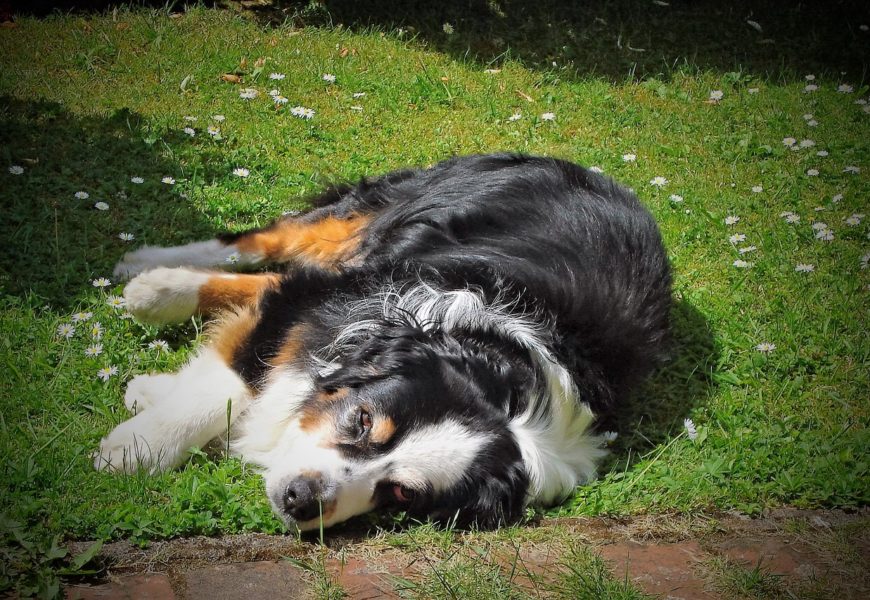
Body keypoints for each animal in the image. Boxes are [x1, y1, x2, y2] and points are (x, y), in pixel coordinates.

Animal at [95, 154, 672, 528]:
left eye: (399, 492)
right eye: (362, 420)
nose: (302, 500)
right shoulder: (335, 306)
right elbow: (230, 384)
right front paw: (134, 450)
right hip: (381, 213)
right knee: (266, 244)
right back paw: (149, 275)